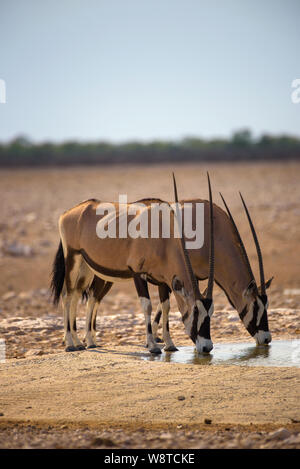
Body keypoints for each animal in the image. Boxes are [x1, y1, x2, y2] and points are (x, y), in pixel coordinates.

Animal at [52, 174, 216, 352]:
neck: (162, 235)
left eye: (211, 312)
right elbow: (147, 305)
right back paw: (70, 343)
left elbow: (166, 306)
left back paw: (83, 341)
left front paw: (169, 344)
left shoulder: (163, 280)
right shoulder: (138, 274)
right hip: (73, 259)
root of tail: (68, 213)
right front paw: (152, 345)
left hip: (86, 269)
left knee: (78, 296)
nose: (207, 347)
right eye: (196, 311)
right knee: (67, 296)